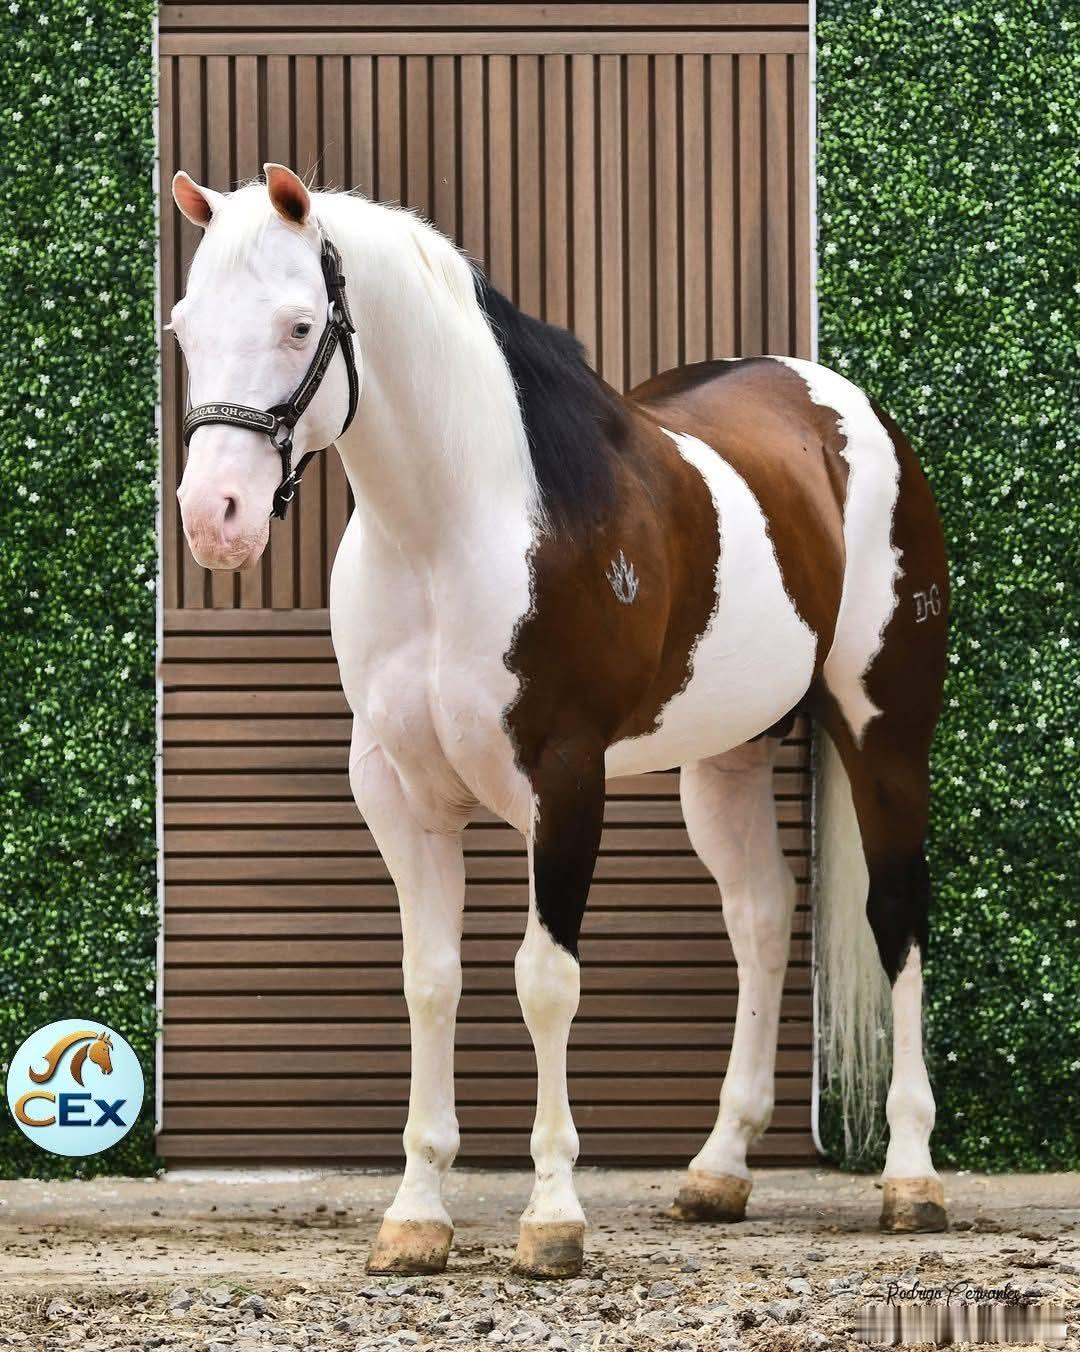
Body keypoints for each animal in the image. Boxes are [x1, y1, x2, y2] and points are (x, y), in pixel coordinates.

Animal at [169, 163, 950, 1279]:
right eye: (185, 327)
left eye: (299, 324)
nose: (214, 519)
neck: (452, 531)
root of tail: (846, 409)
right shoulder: (396, 792)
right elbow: (430, 982)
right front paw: (416, 1215)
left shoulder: (565, 777)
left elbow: (544, 980)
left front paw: (553, 1216)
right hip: (726, 759)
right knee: (760, 914)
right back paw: (719, 1169)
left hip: (885, 732)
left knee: (898, 918)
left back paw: (912, 1177)